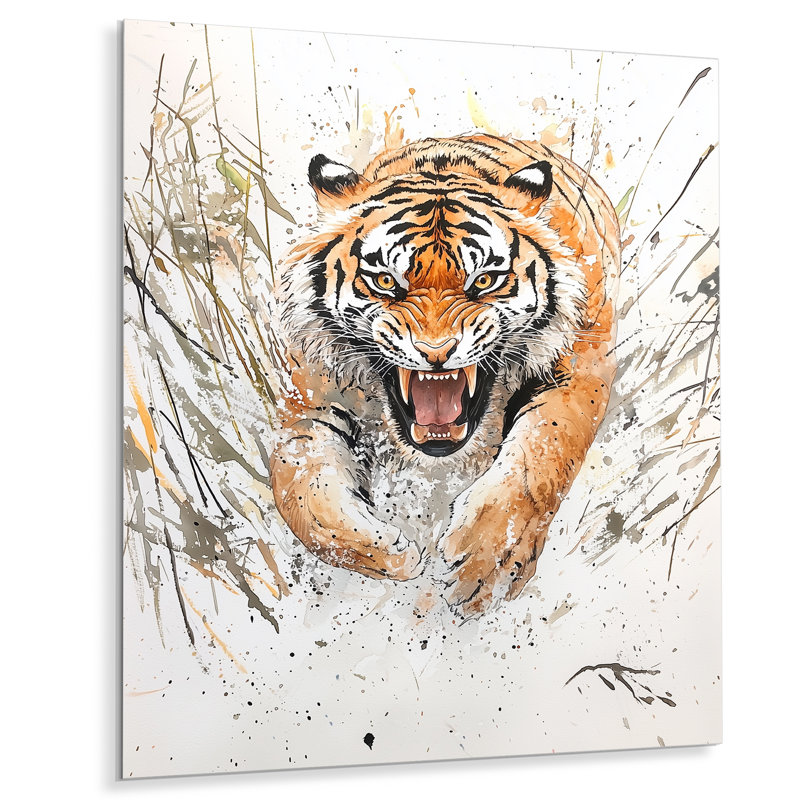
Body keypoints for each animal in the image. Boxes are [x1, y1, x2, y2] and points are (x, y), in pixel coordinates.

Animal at [270, 134, 620, 619]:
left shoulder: (582, 367)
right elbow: (297, 489)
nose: (436, 353)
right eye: (385, 281)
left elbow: (543, 454)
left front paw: (489, 561)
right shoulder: (310, 402)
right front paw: (390, 555)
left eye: (485, 281)